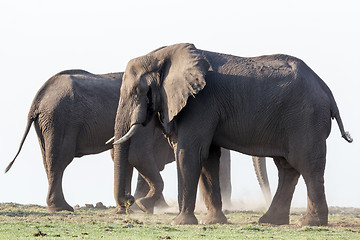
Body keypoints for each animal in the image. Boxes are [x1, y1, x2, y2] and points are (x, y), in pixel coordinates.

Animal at [6, 69, 270, 212]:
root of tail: (37, 99)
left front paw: (143, 204)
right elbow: (139, 156)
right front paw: (145, 204)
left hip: (49, 123)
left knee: (50, 160)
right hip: (59, 119)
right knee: (59, 160)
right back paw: (63, 208)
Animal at [112, 43, 352, 227]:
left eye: (138, 91)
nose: (130, 201)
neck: (163, 54)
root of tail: (326, 90)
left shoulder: (201, 103)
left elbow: (189, 153)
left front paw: (180, 223)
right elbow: (207, 157)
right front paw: (212, 222)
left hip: (306, 119)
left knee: (307, 165)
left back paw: (309, 224)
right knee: (287, 168)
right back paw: (270, 221)